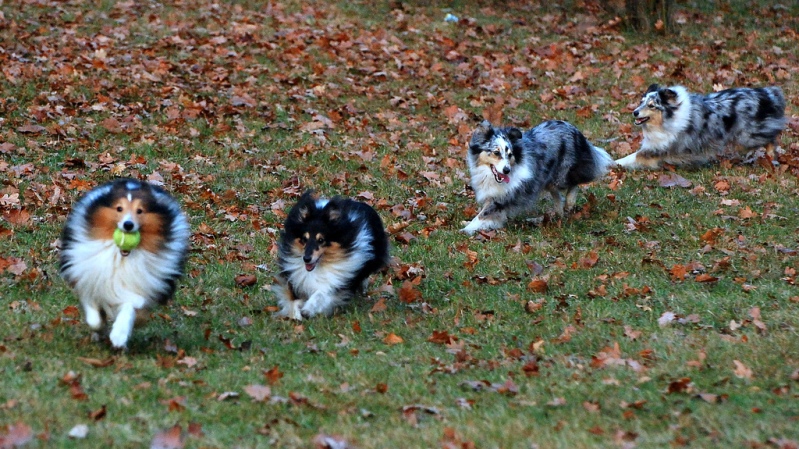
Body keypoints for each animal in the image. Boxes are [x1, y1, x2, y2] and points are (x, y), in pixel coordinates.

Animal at [59, 177, 191, 348]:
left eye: (140, 211)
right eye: (119, 208)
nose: (128, 225)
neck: (121, 257)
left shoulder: (134, 288)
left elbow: (129, 307)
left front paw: (119, 335)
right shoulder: (91, 277)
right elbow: (94, 318)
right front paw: (99, 329)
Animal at [620, 83, 788, 169]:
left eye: (652, 105)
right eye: (641, 102)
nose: (635, 112)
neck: (668, 118)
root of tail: (767, 93)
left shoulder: (657, 148)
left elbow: (631, 157)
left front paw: (615, 164)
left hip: (747, 137)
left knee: (771, 138)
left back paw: (772, 157)